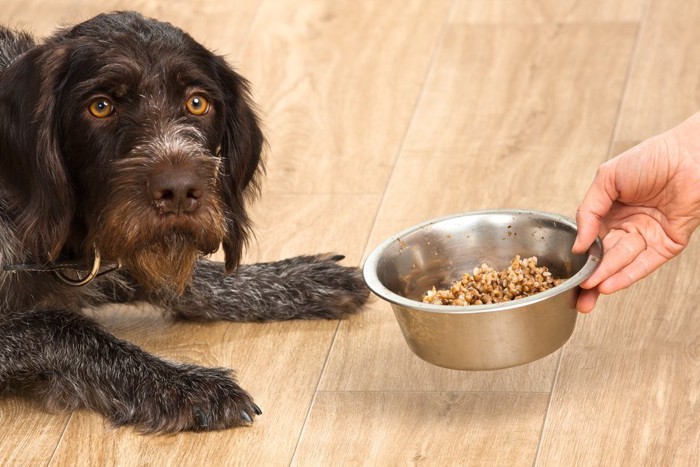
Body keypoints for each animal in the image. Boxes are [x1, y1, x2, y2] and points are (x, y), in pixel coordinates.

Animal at [0, 11, 370, 434]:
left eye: (197, 103)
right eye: (100, 106)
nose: (178, 191)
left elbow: (187, 276)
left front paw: (294, 280)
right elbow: (58, 324)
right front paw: (178, 385)